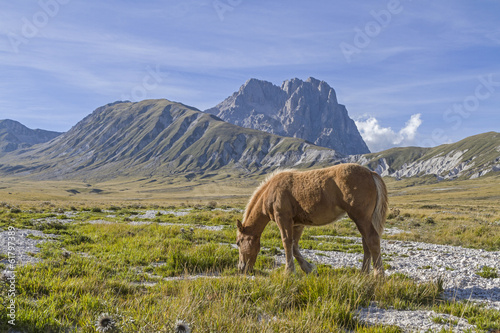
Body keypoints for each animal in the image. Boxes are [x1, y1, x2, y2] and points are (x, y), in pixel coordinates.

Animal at [236, 163, 388, 274]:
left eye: (238, 243)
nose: (241, 268)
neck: (270, 191)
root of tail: (371, 173)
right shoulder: (297, 224)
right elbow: (294, 246)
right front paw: (308, 268)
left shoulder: (283, 219)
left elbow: (287, 243)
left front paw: (289, 271)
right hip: (363, 220)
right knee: (366, 243)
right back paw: (364, 274)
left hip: (361, 218)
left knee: (372, 240)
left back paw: (378, 275)